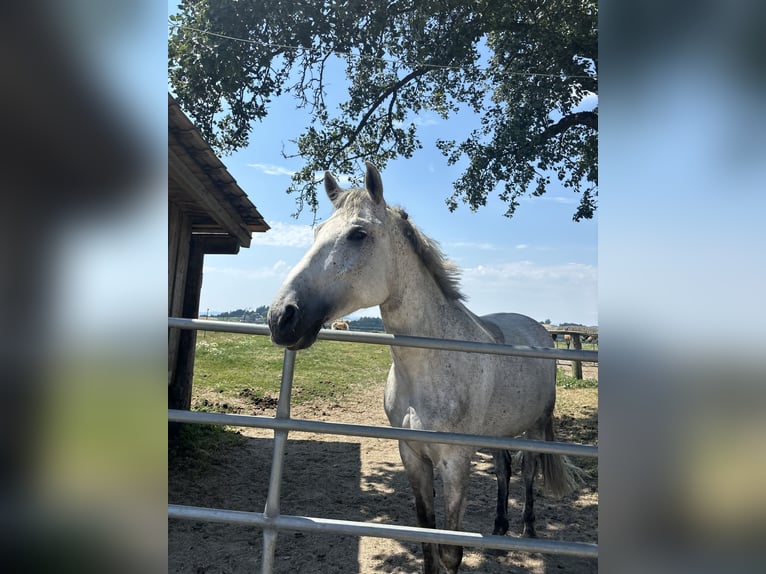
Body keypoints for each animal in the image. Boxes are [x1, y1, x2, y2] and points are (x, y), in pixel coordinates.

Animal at [268, 162, 579, 574]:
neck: (430, 367)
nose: (281, 317)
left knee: (528, 472)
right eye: (317, 232)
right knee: (503, 470)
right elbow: (426, 537)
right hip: (501, 432)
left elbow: (450, 549)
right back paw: (499, 531)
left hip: (536, 426)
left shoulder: (455, 462)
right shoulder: (413, 457)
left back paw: (528, 531)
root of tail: (539, 330)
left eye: (358, 234)